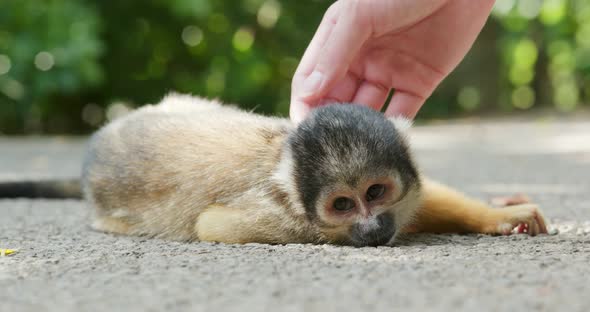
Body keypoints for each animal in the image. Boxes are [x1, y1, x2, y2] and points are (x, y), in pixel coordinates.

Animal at [77, 93, 544, 246]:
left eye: (375, 193)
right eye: (342, 205)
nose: (372, 227)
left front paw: (501, 215)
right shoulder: (276, 214)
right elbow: (211, 225)